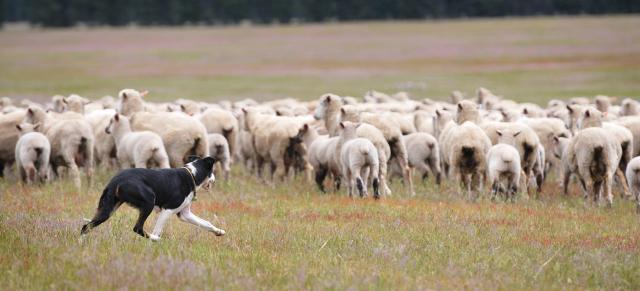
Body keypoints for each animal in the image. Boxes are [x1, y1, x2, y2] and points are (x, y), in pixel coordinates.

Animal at [80, 157, 225, 242]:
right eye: (212, 171)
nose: (215, 180)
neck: (192, 175)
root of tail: (115, 181)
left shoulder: (184, 214)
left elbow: (206, 223)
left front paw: (219, 231)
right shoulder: (167, 210)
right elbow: (158, 229)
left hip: (107, 210)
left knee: (86, 226)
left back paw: (81, 244)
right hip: (148, 202)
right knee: (138, 228)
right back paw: (154, 239)